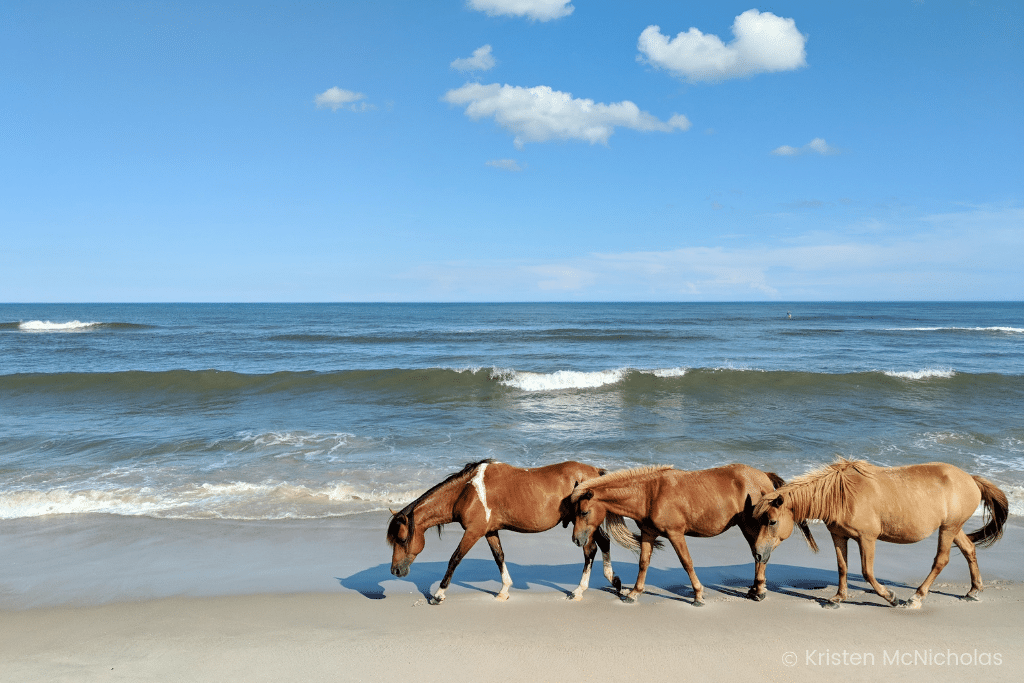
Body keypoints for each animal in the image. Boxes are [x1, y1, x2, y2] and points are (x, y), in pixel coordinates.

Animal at [386, 459, 624, 604]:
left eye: (402, 539)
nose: (395, 571)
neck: (467, 491)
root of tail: (595, 472)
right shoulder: (490, 531)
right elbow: (499, 556)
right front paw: (504, 591)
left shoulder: (473, 531)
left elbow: (455, 559)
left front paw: (438, 594)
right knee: (603, 543)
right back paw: (614, 581)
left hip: (583, 525)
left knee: (590, 550)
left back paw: (579, 590)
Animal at [569, 463, 816, 606]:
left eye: (584, 511)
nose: (577, 539)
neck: (650, 494)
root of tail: (763, 475)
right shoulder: (648, 533)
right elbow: (643, 563)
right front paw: (634, 593)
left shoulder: (676, 534)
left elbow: (686, 562)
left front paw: (698, 595)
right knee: (759, 555)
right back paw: (755, 589)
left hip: (751, 526)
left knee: (760, 555)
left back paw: (759, 590)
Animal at [751, 458, 1008, 609]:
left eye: (772, 521)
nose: (758, 554)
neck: (841, 494)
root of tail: (971, 479)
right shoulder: (839, 536)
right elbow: (842, 567)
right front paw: (837, 598)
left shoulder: (867, 538)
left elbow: (867, 572)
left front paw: (891, 597)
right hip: (953, 528)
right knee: (969, 549)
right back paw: (973, 591)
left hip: (948, 529)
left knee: (941, 560)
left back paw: (916, 597)